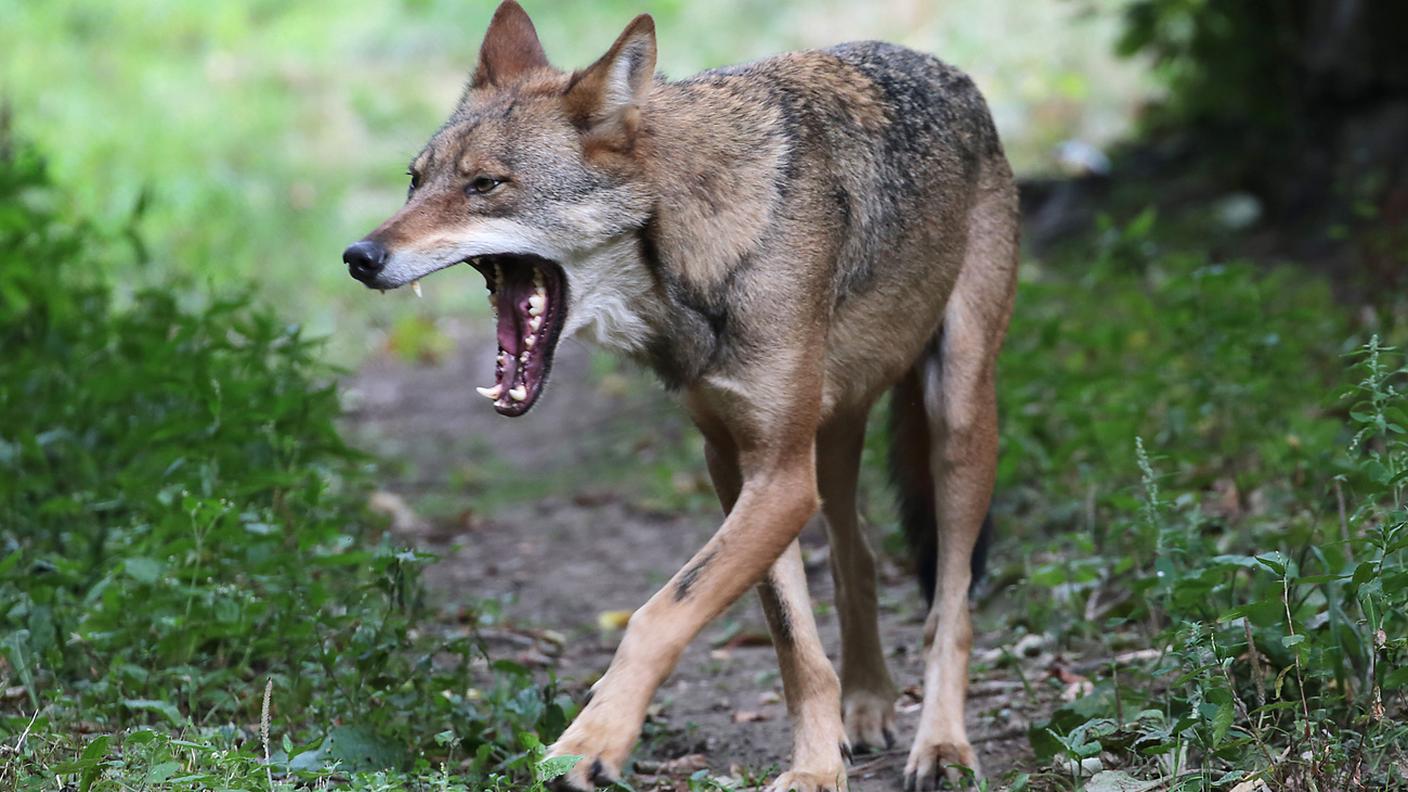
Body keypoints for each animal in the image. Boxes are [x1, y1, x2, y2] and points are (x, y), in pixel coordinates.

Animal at [343, 3, 1018, 789]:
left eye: (485, 184)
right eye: (414, 181)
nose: (358, 256)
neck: (688, 251)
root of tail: (948, 71)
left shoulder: (780, 480)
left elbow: (659, 615)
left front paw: (592, 741)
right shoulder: (738, 464)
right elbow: (793, 643)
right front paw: (818, 767)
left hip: (957, 421)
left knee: (950, 607)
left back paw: (942, 746)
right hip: (833, 443)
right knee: (860, 564)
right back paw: (870, 705)